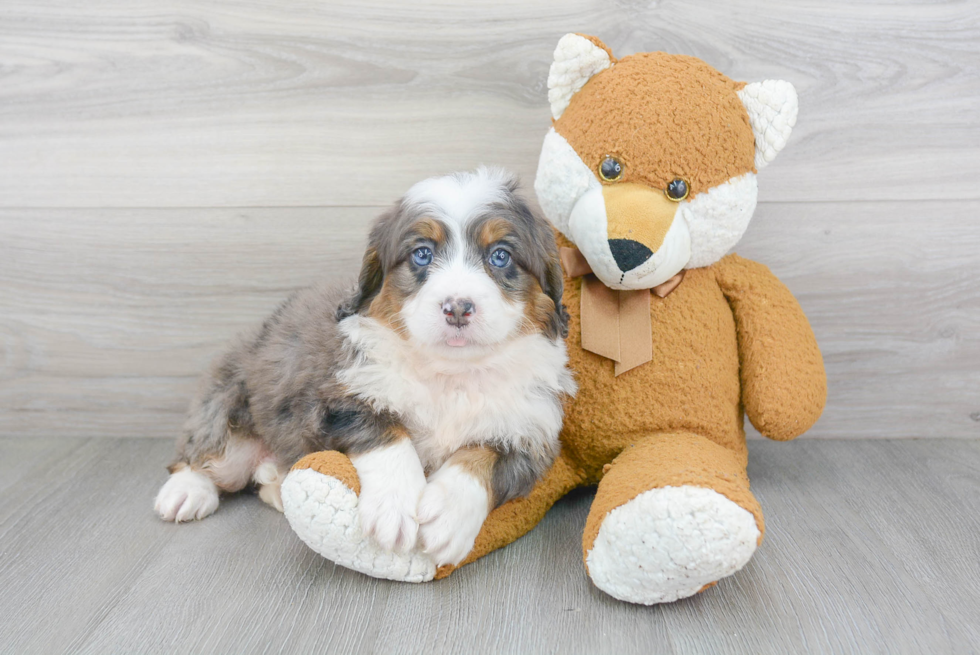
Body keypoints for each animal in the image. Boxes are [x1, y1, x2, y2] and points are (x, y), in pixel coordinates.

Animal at [157, 167, 580, 568]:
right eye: (422, 254)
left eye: (500, 256)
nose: (458, 307)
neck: (451, 373)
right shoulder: (340, 397)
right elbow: (389, 435)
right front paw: (396, 507)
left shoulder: (529, 435)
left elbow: (481, 459)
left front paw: (449, 516)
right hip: (229, 406)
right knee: (203, 455)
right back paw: (185, 492)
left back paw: (275, 482)